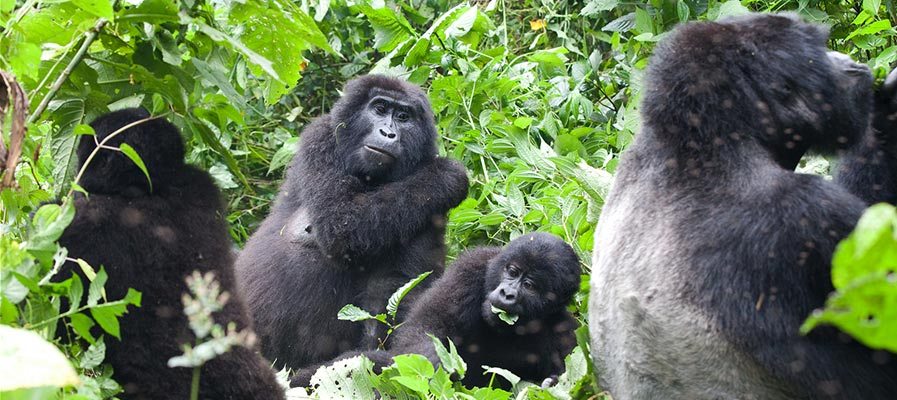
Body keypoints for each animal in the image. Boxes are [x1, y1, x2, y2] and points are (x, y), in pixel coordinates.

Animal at [234, 76, 468, 372]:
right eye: (379, 109)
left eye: (403, 117)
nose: (388, 134)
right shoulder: (321, 139)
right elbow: (342, 226)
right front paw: (445, 175)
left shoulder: (431, 213)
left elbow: (399, 289)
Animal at [288, 233, 580, 390]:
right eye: (512, 271)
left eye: (529, 286)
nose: (507, 293)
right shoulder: (470, 269)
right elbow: (427, 329)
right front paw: (435, 365)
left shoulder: (566, 334)